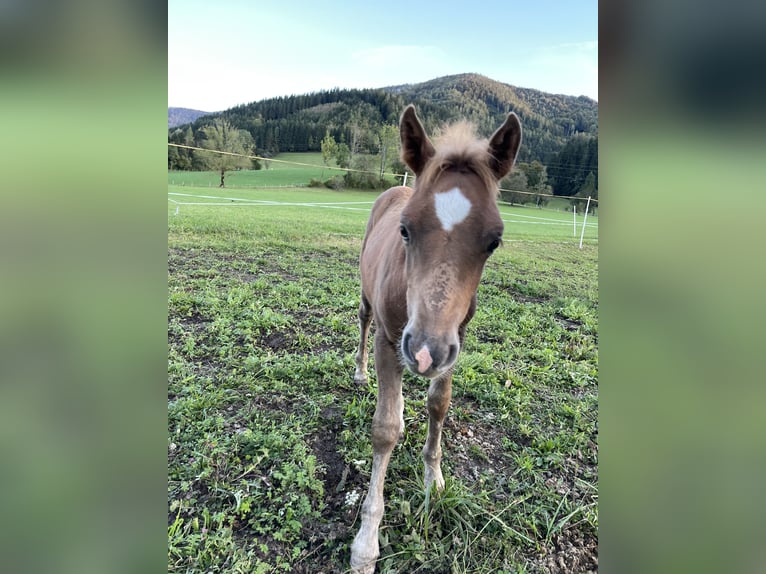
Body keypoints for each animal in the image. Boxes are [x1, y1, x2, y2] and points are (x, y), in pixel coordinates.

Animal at [352, 106, 520, 572]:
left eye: (494, 241)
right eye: (405, 230)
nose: (425, 353)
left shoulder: (453, 343)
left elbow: (438, 405)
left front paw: (434, 480)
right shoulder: (391, 342)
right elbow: (385, 429)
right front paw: (366, 540)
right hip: (371, 308)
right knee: (363, 321)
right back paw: (360, 372)